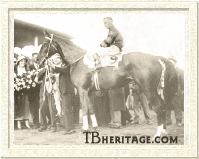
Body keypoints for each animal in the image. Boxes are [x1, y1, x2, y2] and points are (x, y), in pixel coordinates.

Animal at [38, 32, 178, 138]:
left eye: (45, 44)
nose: (38, 60)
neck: (79, 62)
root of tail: (157, 58)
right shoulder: (89, 92)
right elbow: (91, 108)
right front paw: (94, 126)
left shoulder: (82, 90)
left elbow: (84, 108)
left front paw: (85, 128)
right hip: (156, 90)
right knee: (163, 107)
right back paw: (164, 131)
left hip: (149, 90)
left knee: (159, 107)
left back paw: (158, 133)